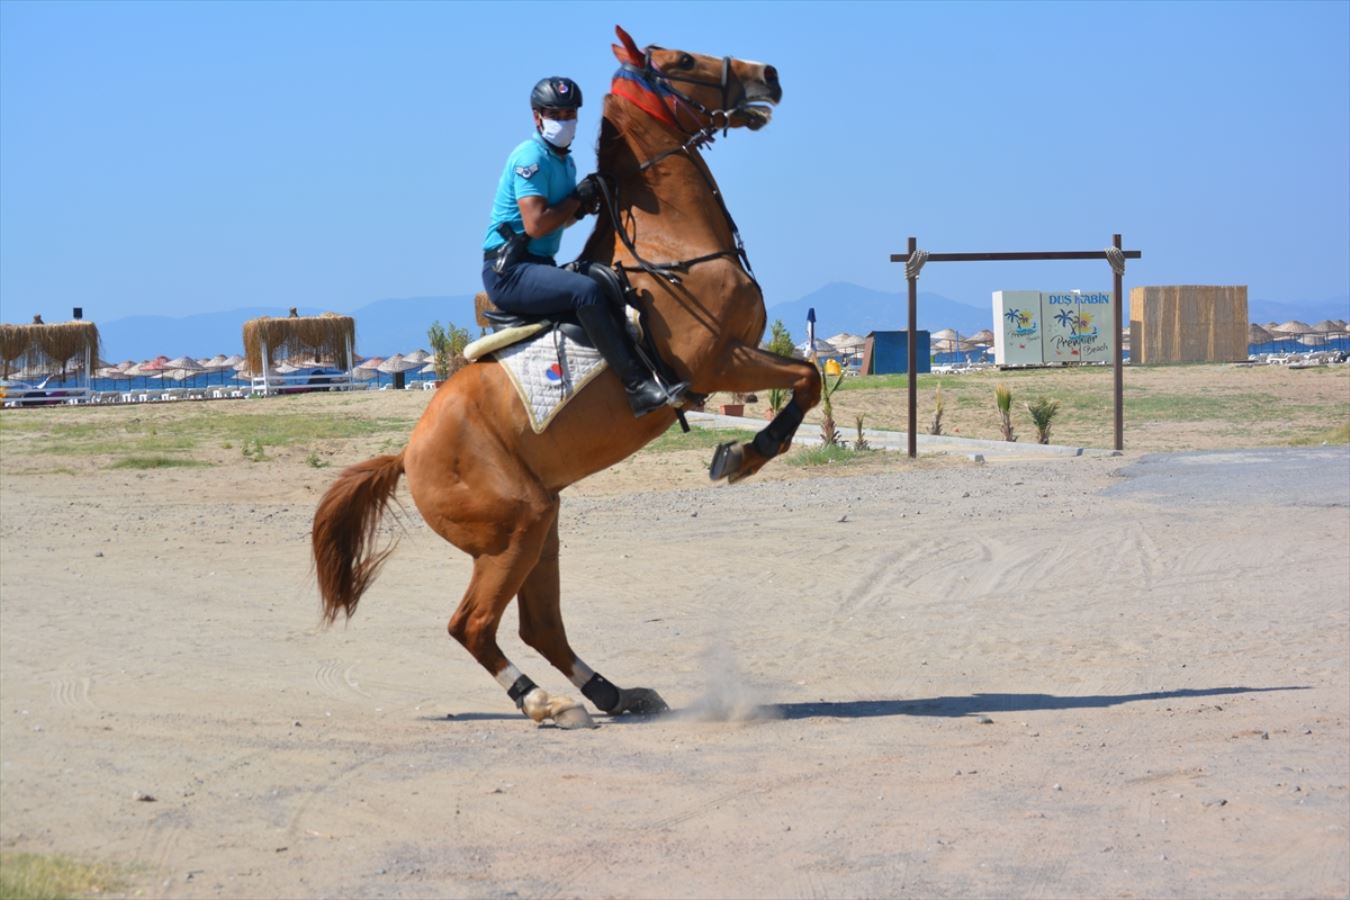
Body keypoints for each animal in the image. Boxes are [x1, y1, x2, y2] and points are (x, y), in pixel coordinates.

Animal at [313, 26, 820, 734]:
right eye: (682, 61)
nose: (767, 74)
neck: (671, 246)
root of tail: (407, 454)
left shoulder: (733, 357)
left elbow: (808, 377)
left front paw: (743, 452)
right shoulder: (718, 360)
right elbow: (808, 378)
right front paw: (744, 455)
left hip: (542, 522)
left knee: (540, 626)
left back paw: (614, 693)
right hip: (516, 528)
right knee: (473, 625)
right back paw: (545, 703)